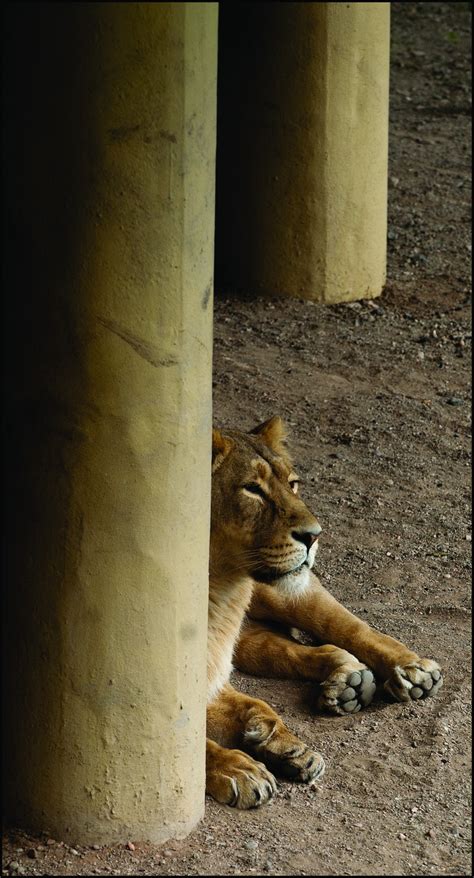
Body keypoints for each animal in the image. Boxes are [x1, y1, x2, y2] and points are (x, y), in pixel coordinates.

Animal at [206, 420, 442, 812]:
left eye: (293, 483)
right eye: (252, 489)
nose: (313, 536)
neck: (221, 589)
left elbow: (257, 703)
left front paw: (283, 747)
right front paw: (242, 767)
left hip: (286, 593)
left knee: (347, 627)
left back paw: (409, 673)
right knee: (295, 649)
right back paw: (349, 682)